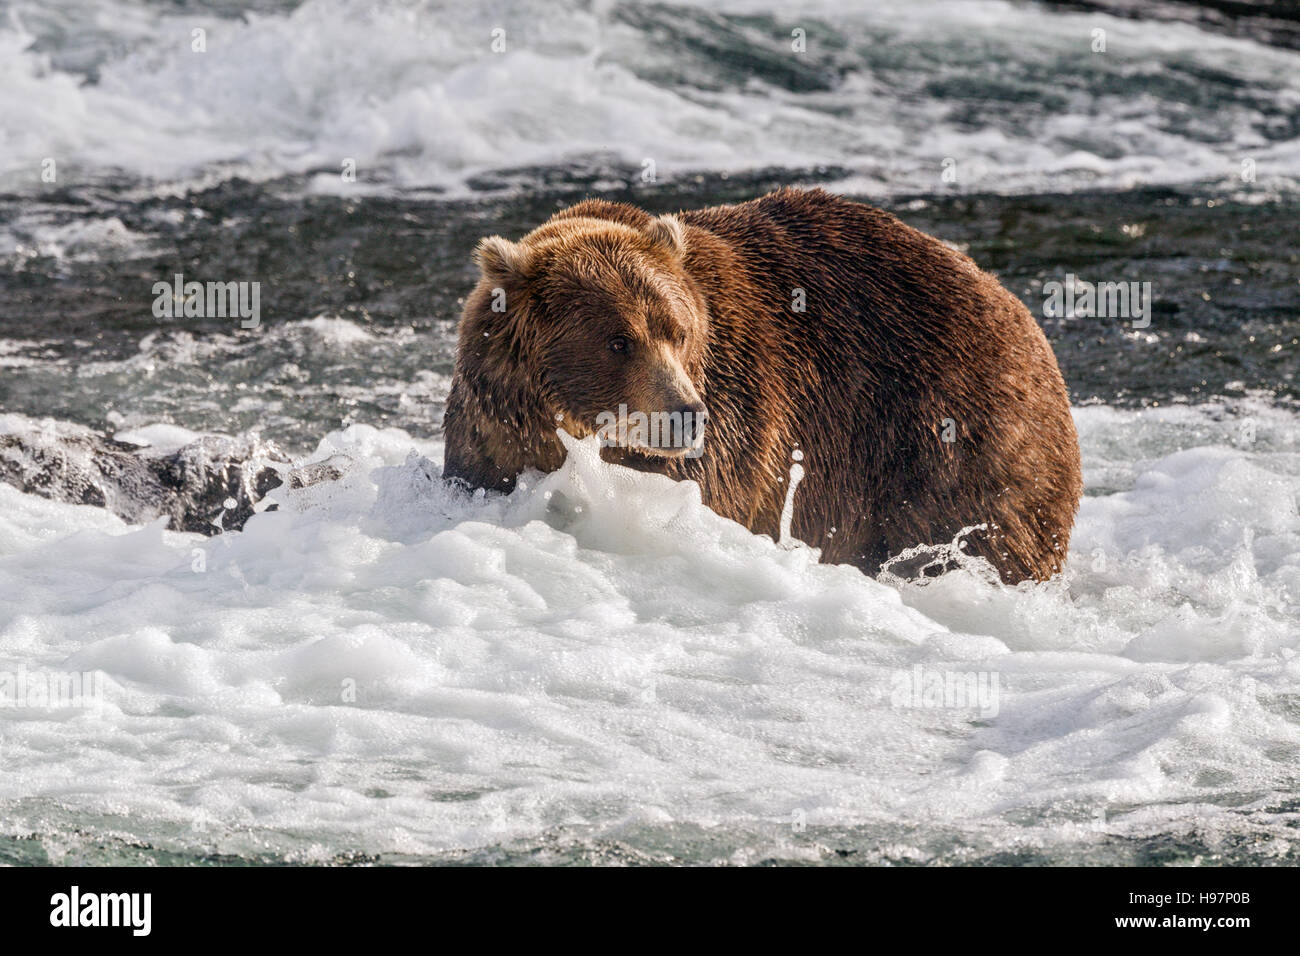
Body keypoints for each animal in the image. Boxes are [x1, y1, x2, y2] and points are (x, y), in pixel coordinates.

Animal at [441, 187, 1081, 582]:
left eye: (676, 331)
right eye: (618, 340)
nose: (684, 414)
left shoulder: (733, 427)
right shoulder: (491, 429)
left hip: (951, 439)